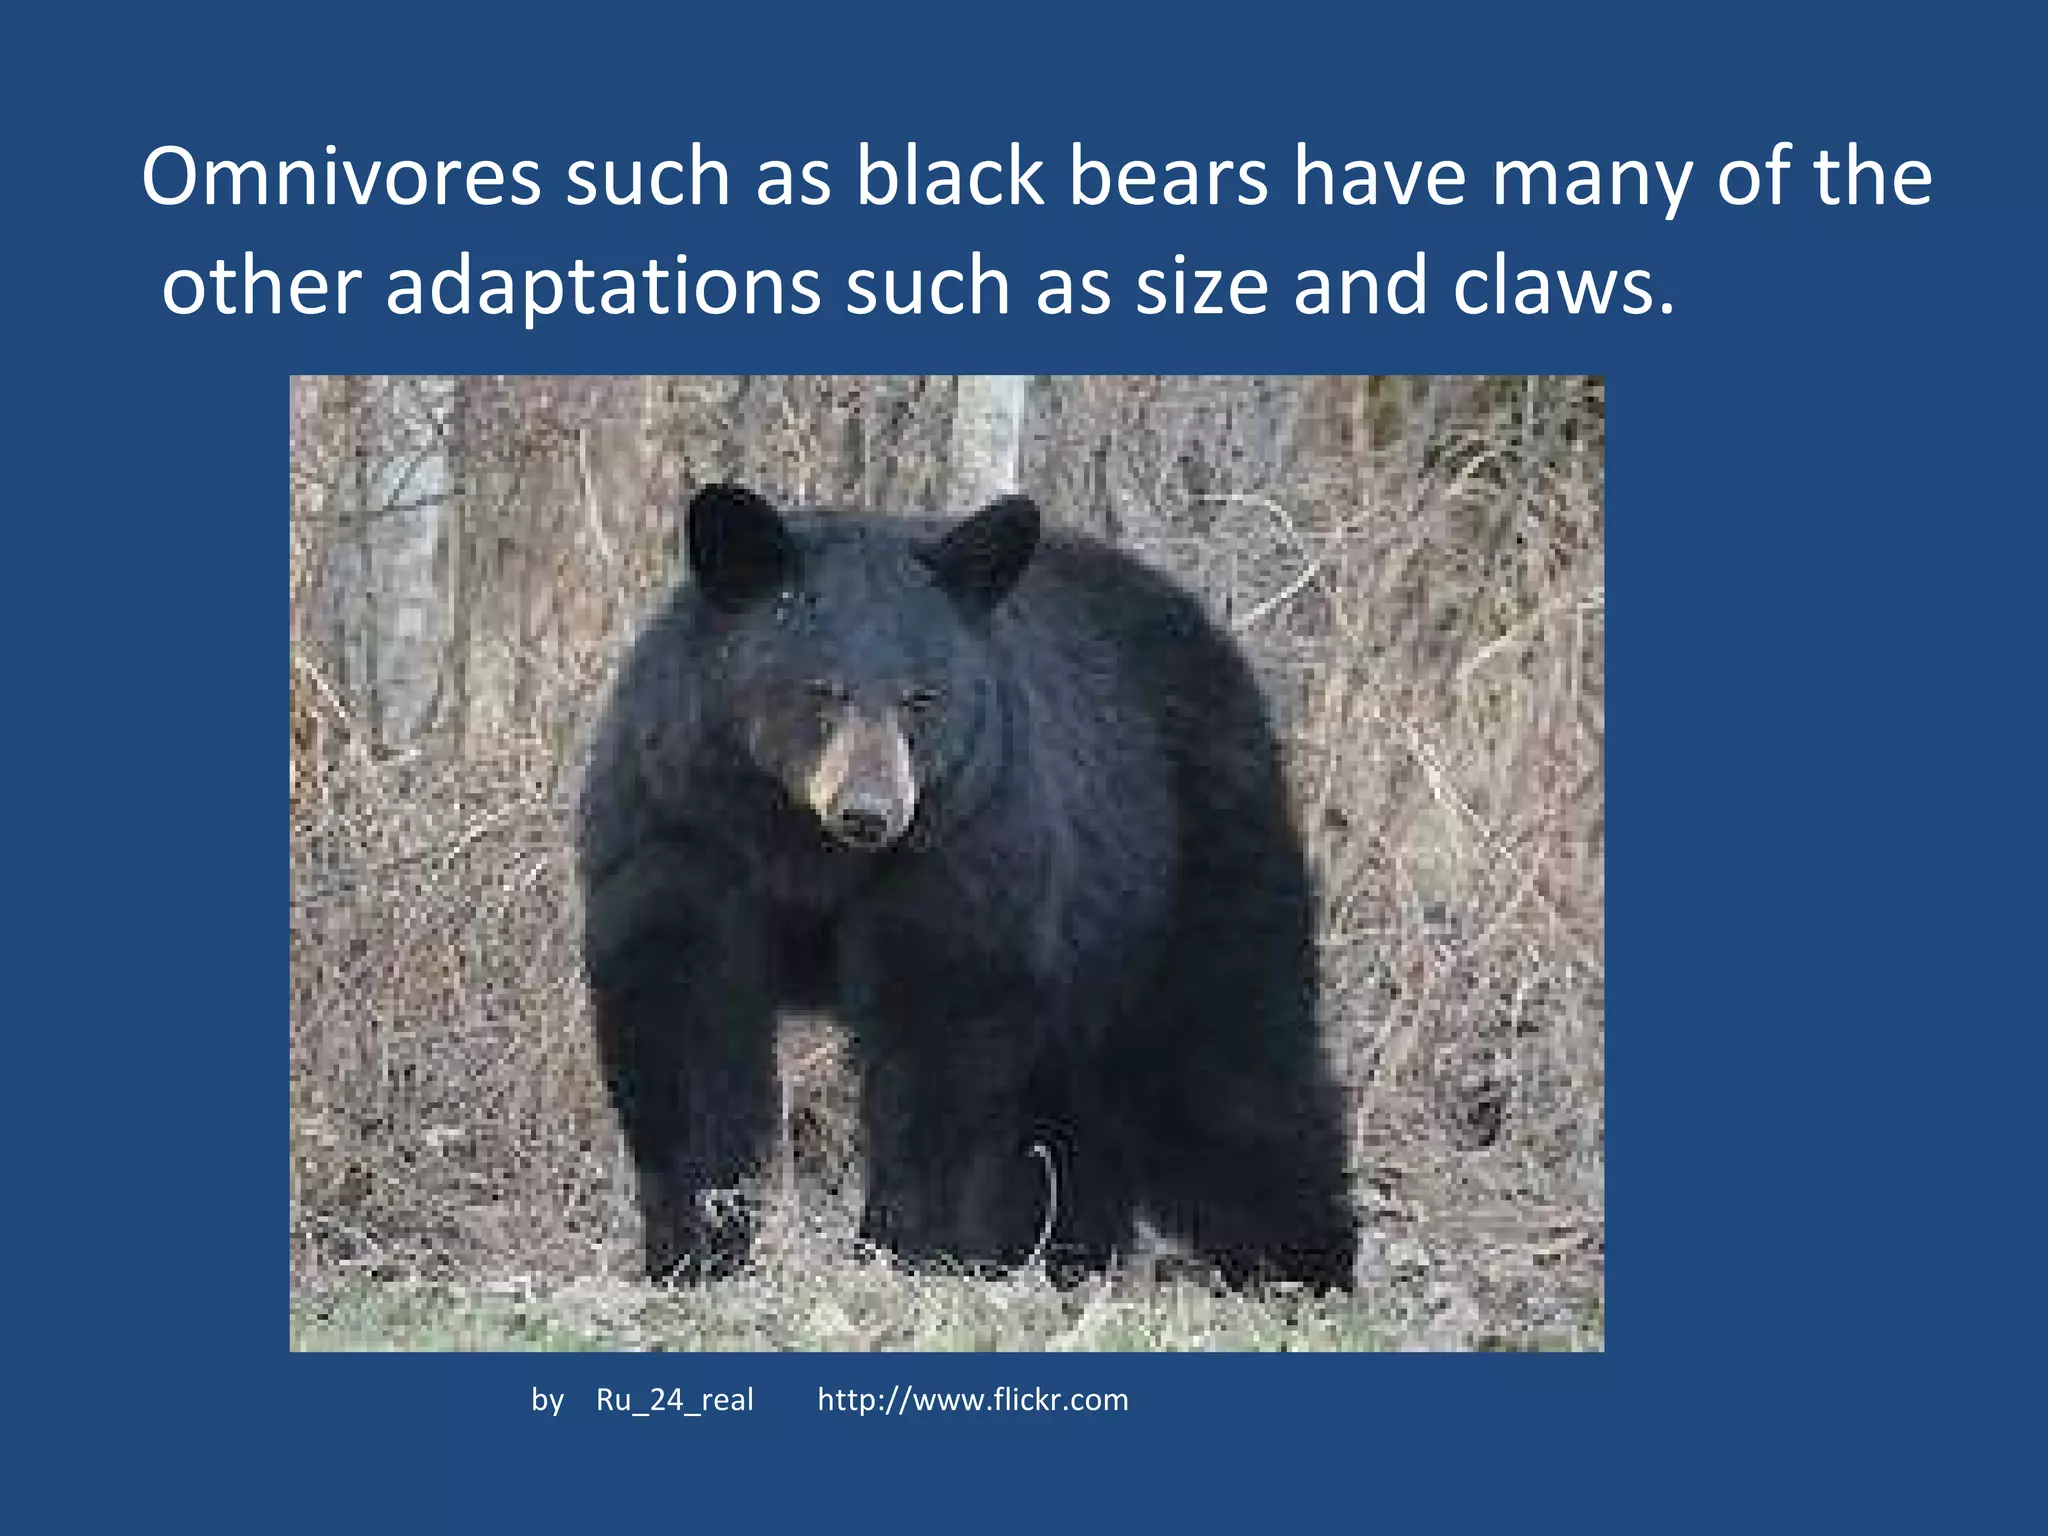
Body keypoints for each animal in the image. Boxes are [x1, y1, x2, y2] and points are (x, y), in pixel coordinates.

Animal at [577, 483, 1357, 1290]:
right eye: (821, 691)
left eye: (921, 699)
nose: (870, 812)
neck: (805, 846)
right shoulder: (681, 824)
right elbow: (683, 1015)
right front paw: (692, 1247)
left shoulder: (964, 843)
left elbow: (937, 1033)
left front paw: (904, 1249)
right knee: (1074, 1108)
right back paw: (1058, 1255)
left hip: (1183, 861)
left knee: (1228, 1060)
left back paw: (1301, 1262)